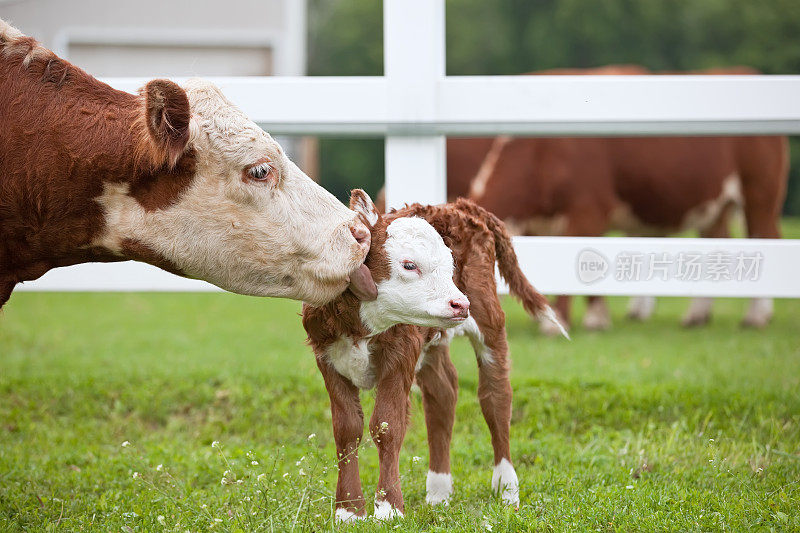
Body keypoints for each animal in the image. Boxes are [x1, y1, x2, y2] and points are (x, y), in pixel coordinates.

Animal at [304, 191, 564, 520]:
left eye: (450, 265)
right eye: (408, 265)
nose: (459, 304)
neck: (359, 326)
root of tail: (459, 205)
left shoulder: (400, 353)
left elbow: (387, 425)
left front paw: (389, 508)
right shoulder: (326, 356)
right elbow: (346, 429)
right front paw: (348, 511)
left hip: (489, 320)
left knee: (496, 397)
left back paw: (506, 490)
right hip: (433, 342)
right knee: (442, 394)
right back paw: (439, 493)